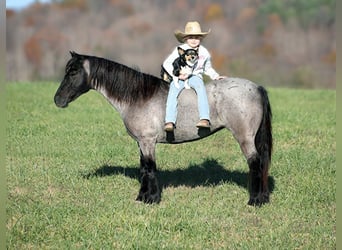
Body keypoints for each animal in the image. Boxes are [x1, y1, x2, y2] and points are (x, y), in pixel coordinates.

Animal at [53, 51, 272, 206]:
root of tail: (256, 87)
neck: (138, 96)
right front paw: (142, 197)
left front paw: (151, 199)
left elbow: (150, 168)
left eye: (73, 72)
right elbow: (144, 168)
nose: (57, 100)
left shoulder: (148, 141)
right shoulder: (142, 143)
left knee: (255, 163)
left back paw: (255, 200)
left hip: (245, 138)